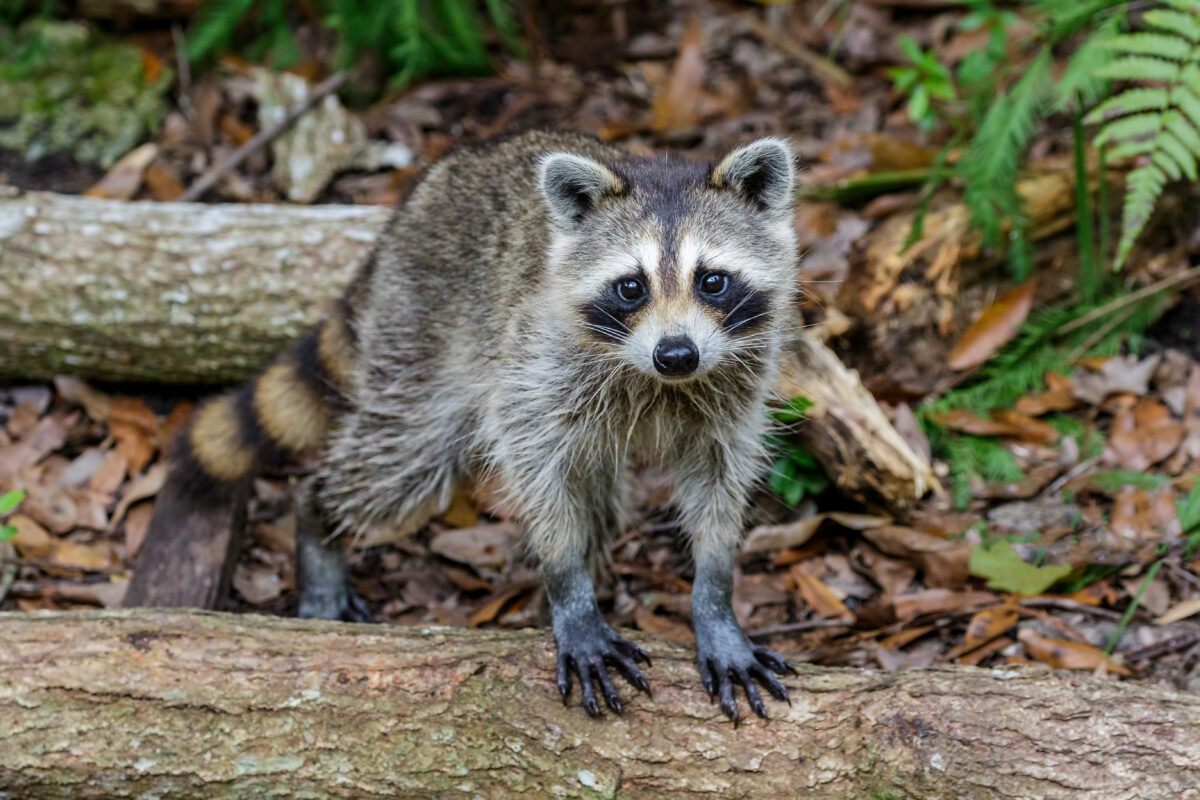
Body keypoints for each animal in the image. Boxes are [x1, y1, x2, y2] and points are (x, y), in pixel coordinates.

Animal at [145, 130, 799, 721]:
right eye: (631, 287)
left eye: (711, 280)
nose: (676, 354)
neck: (658, 381)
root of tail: (413, 206)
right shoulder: (536, 368)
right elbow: (536, 474)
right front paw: (570, 592)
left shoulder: (733, 391)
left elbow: (719, 485)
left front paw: (714, 600)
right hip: (423, 337)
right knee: (399, 458)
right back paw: (319, 519)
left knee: (596, 497)